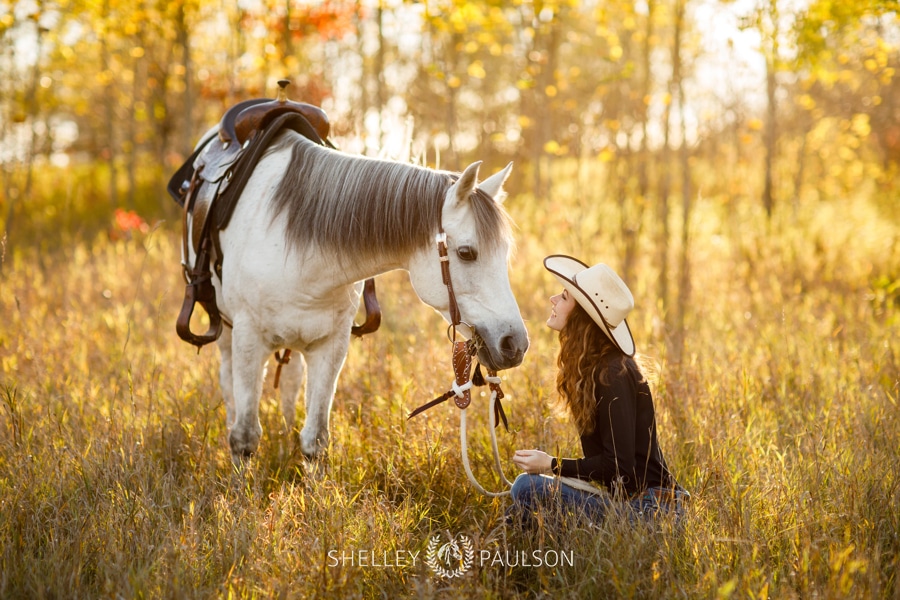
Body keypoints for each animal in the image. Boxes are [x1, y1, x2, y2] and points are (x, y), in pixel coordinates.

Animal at [187, 130, 532, 460]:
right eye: (466, 253)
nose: (515, 344)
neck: (293, 250)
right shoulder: (248, 340)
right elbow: (244, 437)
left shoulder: (331, 346)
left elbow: (315, 439)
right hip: (227, 332)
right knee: (229, 384)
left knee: (290, 382)